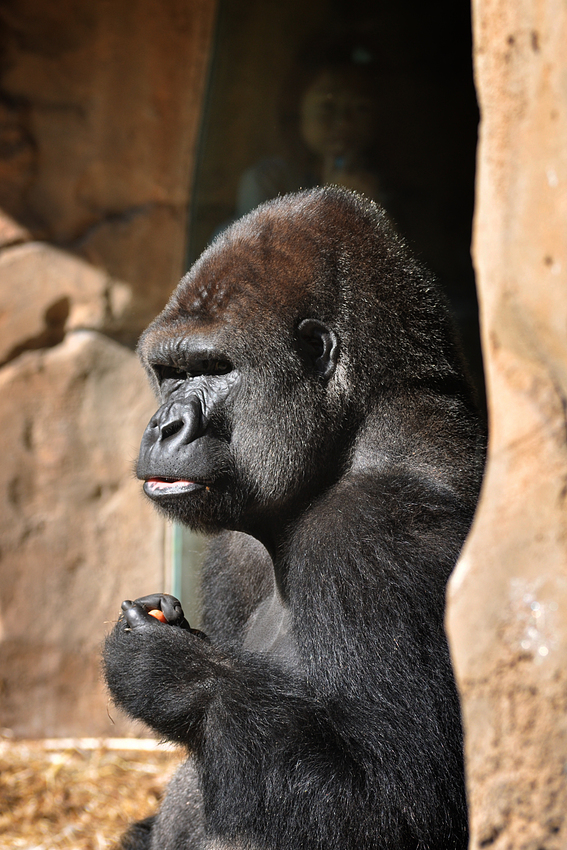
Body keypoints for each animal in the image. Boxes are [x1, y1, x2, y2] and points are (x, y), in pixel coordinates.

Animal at [104, 187, 486, 848]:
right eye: (171, 374)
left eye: (215, 368)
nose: (163, 426)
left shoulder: (374, 532)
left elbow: (399, 802)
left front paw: (173, 675)